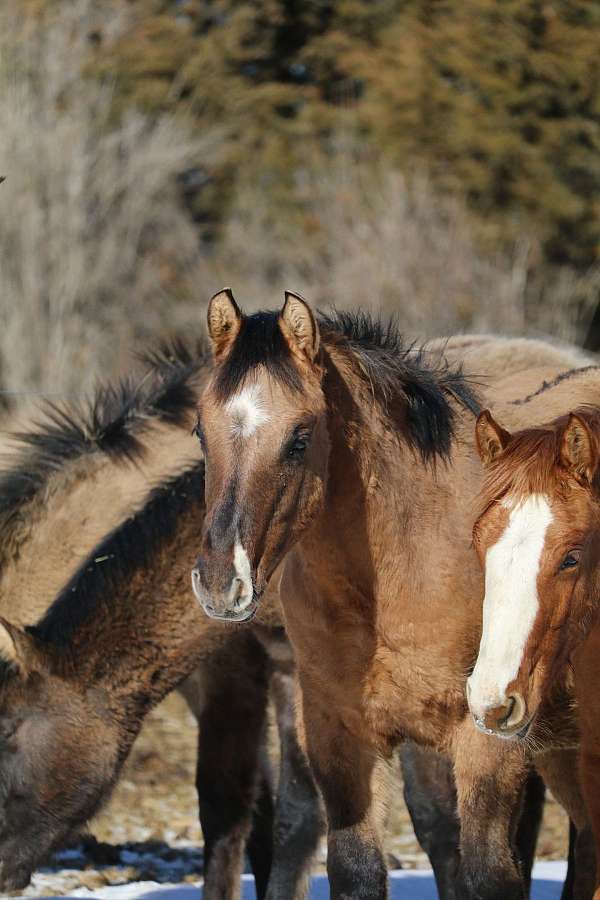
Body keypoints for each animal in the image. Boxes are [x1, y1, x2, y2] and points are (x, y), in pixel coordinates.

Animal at [193, 287, 595, 900]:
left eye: (300, 438)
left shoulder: (487, 742)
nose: (221, 582)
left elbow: (486, 871)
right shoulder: (339, 734)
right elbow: (357, 869)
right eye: (200, 430)